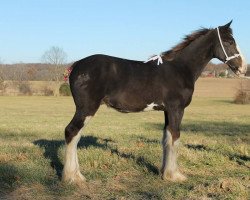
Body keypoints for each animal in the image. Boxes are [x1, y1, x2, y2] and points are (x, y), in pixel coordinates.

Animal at [62, 21, 246, 184]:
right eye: (229, 42)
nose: (243, 68)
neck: (180, 68)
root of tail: (76, 65)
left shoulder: (167, 111)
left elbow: (166, 138)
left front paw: (164, 172)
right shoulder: (176, 109)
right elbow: (175, 138)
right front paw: (174, 175)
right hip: (86, 108)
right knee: (72, 132)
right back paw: (73, 177)